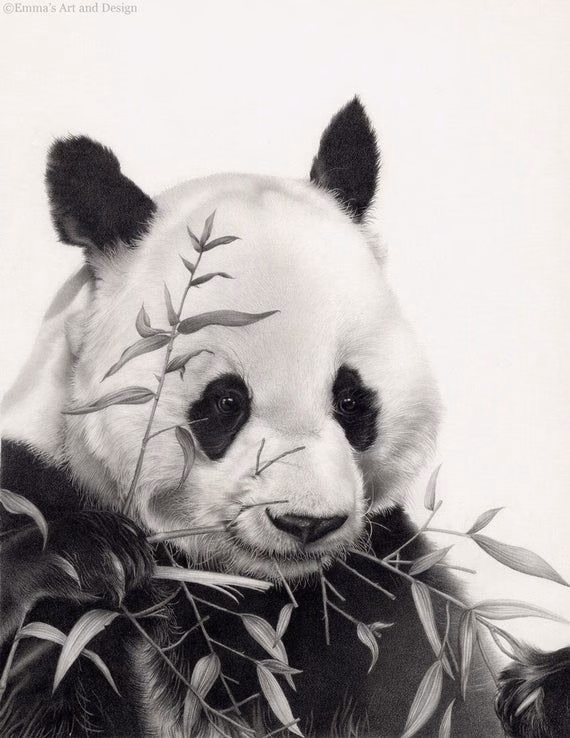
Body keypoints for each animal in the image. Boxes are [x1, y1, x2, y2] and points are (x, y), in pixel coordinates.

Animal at [1, 99, 569, 738]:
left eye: (350, 399)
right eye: (226, 402)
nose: (306, 523)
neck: (249, 592)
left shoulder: (388, 595)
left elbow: (451, 695)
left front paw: (543, 689)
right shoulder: (39, 495)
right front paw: (89, 557)